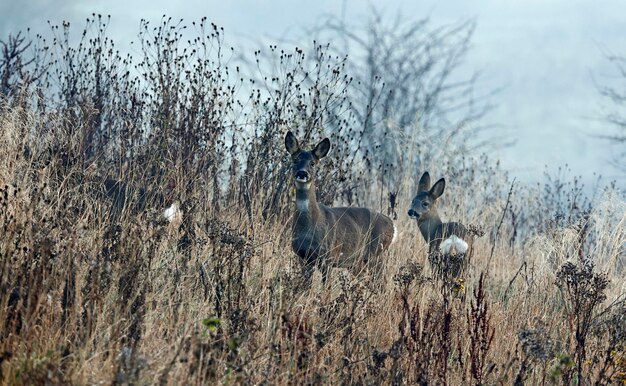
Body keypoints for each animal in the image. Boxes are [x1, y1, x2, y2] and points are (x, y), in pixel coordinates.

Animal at [284, 131, 394, 284]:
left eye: (312, 163)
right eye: (295, 160)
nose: (302, 173)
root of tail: (392, 224)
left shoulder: (329, 256)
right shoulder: (304, 257)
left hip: (376, 253)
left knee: (382, 283)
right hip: (357, 262)